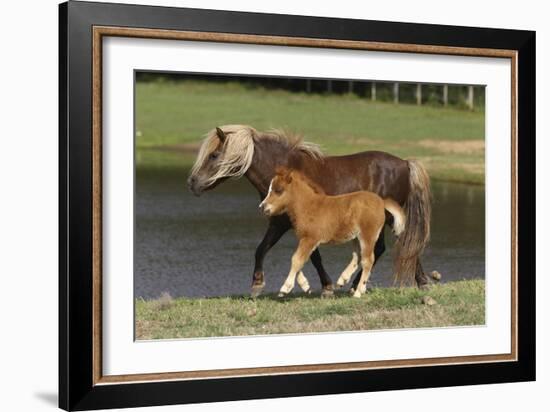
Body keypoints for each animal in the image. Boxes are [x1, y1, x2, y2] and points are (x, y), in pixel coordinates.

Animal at [260, 169, 408, 298]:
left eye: (278, 190)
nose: (262, 207)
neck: (308, 206)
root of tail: (381, 201)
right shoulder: (306, 239)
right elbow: (299, 260)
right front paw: (305, 285)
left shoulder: (310, 239)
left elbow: (296, 259)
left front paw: (285, 288)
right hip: (356, 237)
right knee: (357, 257)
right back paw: (343, 280)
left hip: (368, 234)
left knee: (368, 260)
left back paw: (358, 292)